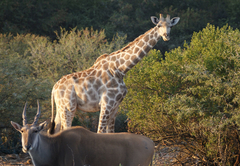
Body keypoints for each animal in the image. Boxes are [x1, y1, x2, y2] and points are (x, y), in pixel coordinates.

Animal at [49, 13, 180, 134]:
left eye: (171, 26)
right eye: (158, 25)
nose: (166, 36)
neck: (121, 69)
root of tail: (54, 88)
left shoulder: (115, 106)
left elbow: (111, 133)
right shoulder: (106, 103)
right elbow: (100, 131)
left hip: (60, 108)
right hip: (68, 107)